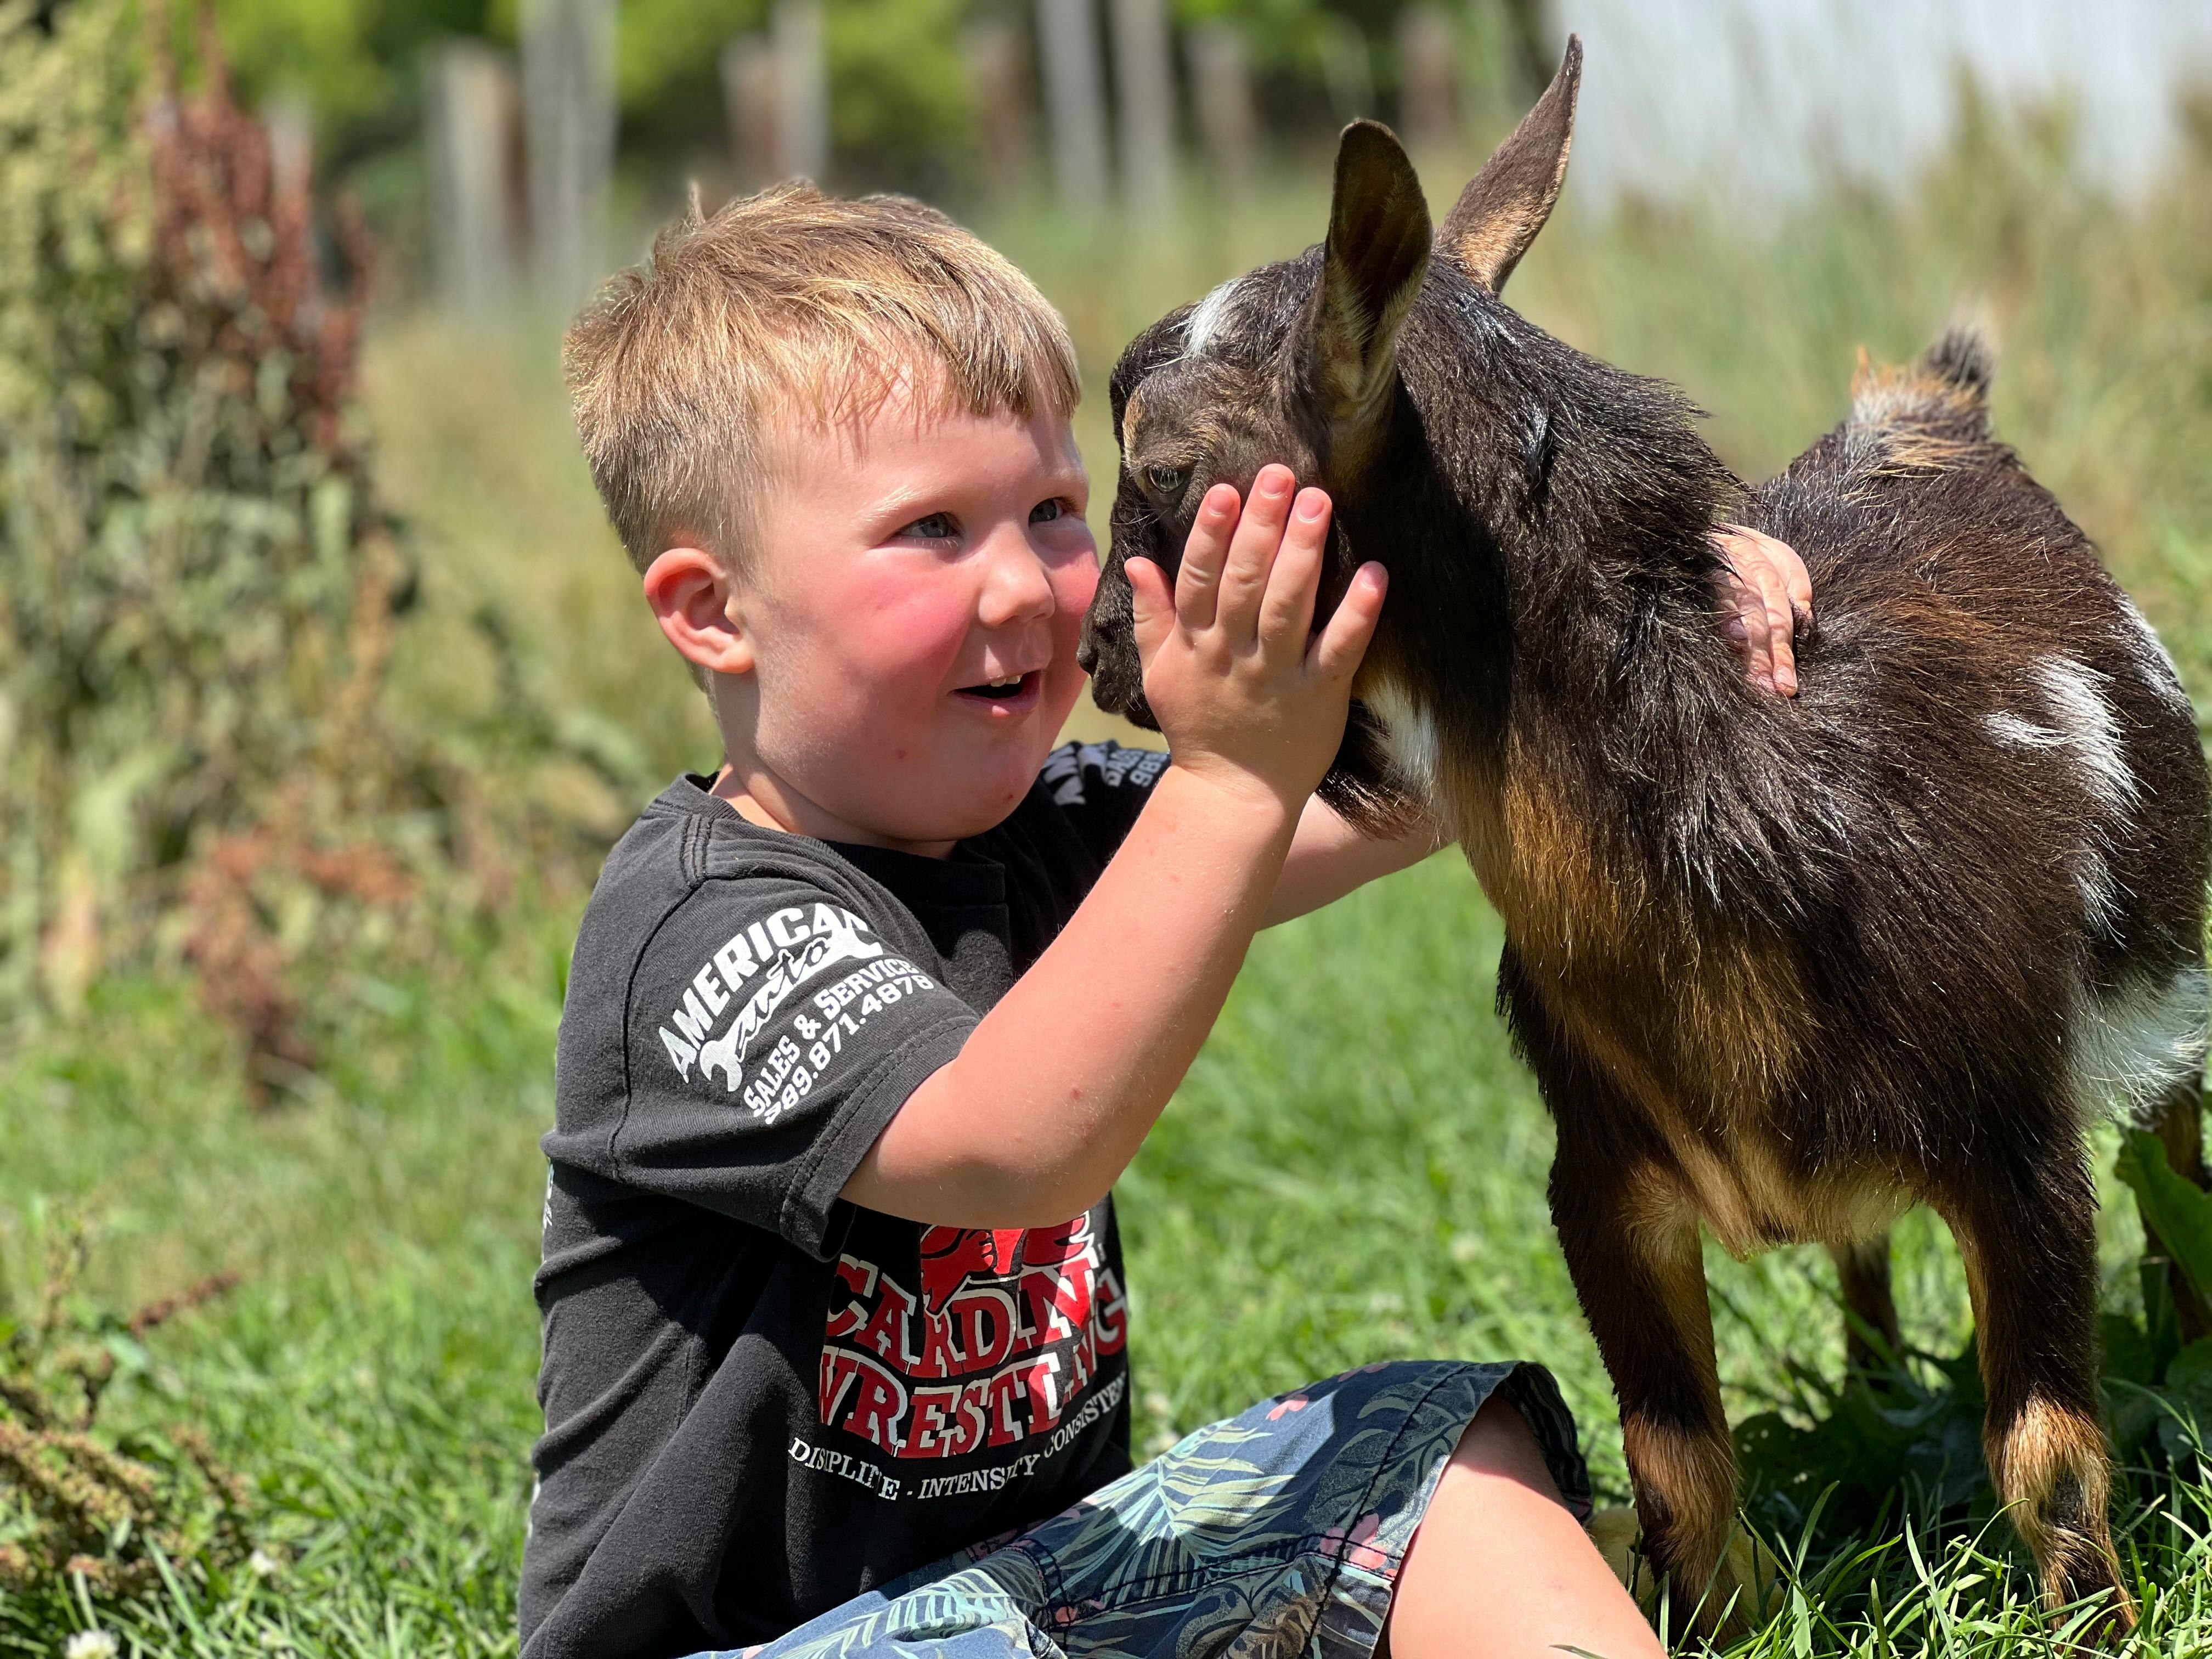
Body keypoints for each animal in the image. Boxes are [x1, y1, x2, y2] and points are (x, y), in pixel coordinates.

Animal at [1075, 37, 2209, 1635]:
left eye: (1165, 462)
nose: (1100, 647)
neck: (1750, 810)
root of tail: (1926, 407)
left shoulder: (2018, 1143)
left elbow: (2047, 1456)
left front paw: (2096, 1631)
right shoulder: (1602, 1182)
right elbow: (1677, 1466)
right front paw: (1716, 1623)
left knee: (2177, 1162)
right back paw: (1874, 1398)